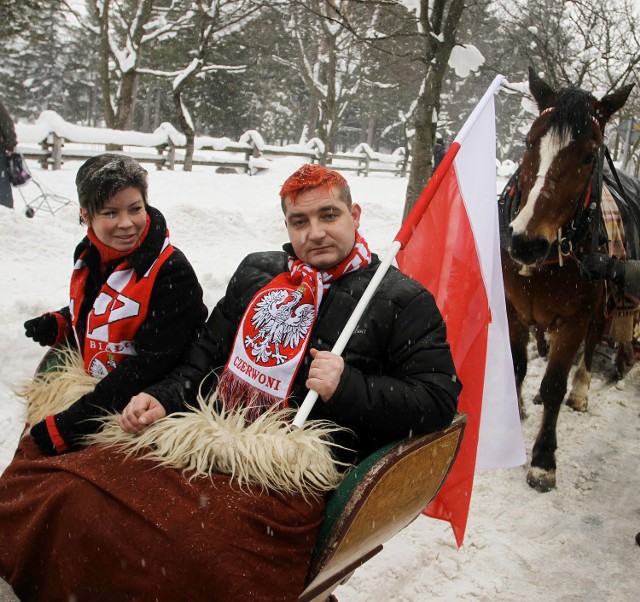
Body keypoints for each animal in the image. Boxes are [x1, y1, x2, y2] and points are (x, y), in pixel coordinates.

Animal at [500, 68, 636, 492]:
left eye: (590, 155)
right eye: (530, 141)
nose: (526, 242)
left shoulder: (576, 317)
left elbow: (554, 383)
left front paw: (543, 459)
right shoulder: (513, 309)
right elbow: (517, 367)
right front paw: (516, 416)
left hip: (602, 306)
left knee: (592, 345)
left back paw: (582, 389)